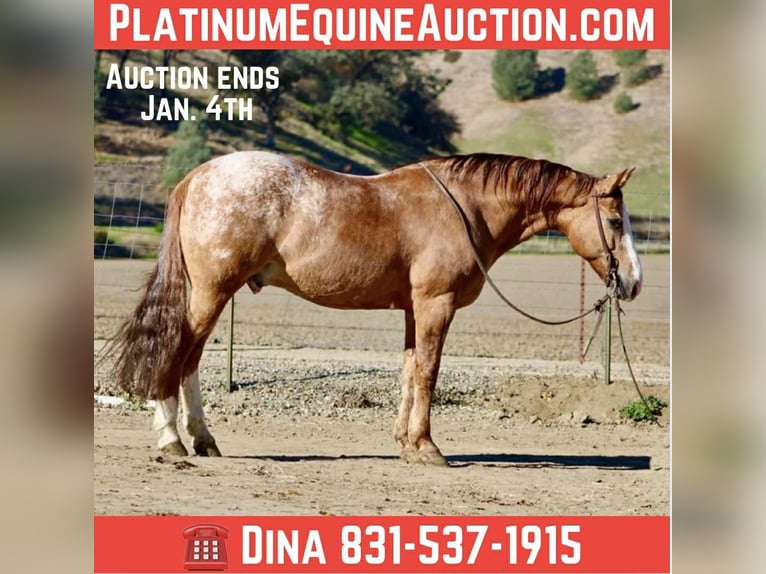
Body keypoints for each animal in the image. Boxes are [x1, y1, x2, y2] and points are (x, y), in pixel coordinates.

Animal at [111, 151, 643, 466]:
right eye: (616, 221)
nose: (634, 282)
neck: (465, 207)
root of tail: (198, 177)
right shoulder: (435, 306)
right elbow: (428, 372)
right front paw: (428, 447)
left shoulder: (413, 310)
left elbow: (409, 372)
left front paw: (406, 443)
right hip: (211, 293)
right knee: (176, 352)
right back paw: (172, 440)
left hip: (215, 295)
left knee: (191, 361)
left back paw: (203, 440)